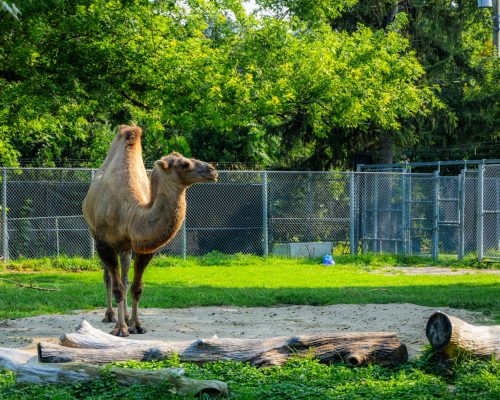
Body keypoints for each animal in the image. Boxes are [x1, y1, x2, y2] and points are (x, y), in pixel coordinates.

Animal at [83, 125, 218, 336]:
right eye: (184, 164)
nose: (212, 170)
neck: (130, 213)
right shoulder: (105, 244)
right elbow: (117, 287)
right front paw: (121, 329)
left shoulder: (145, 248)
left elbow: (136, 287)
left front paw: (136, 325)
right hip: (95, 232)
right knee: (109, 278)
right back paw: (111, 316)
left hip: (126, 247)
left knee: (124, 277)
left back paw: (126, 316)